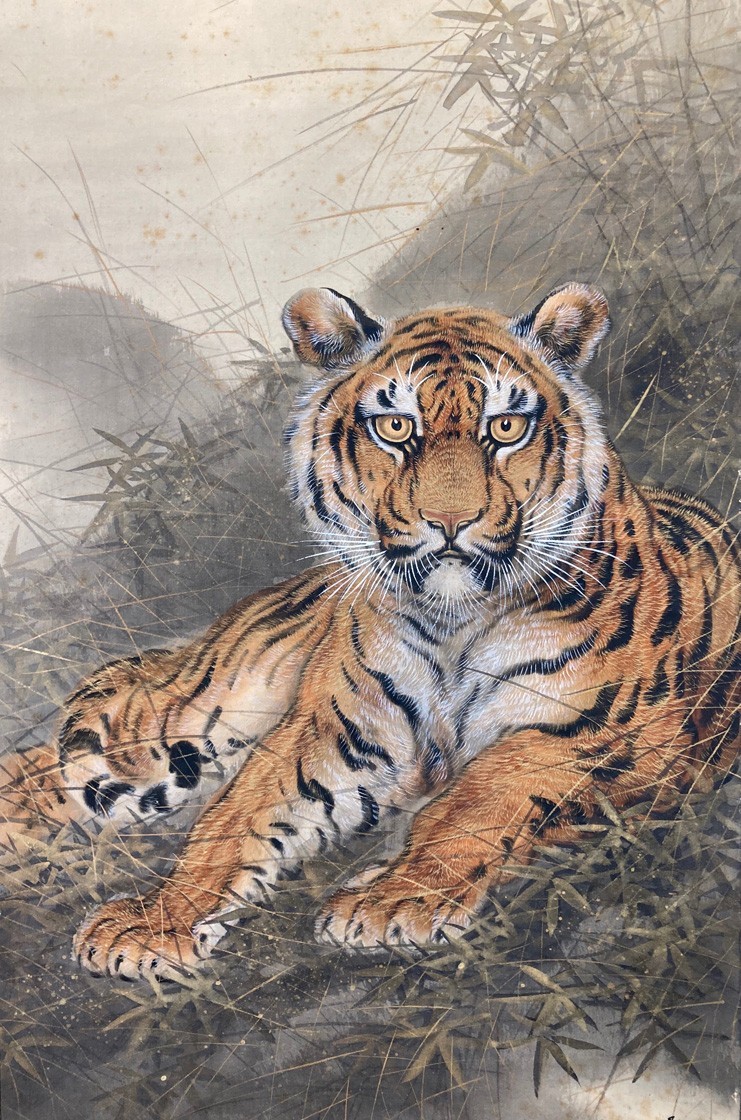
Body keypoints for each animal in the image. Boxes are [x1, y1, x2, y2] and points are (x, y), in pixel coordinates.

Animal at [0, 283, 738, 983]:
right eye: (394, 427)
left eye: (504, 427)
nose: (449, 522)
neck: (453, 620)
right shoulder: (333, 732)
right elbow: (232, 816)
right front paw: (159, 920)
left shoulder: (612, 732)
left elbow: (479, 794)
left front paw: (391, 901)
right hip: (172, 732)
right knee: (65, 764)